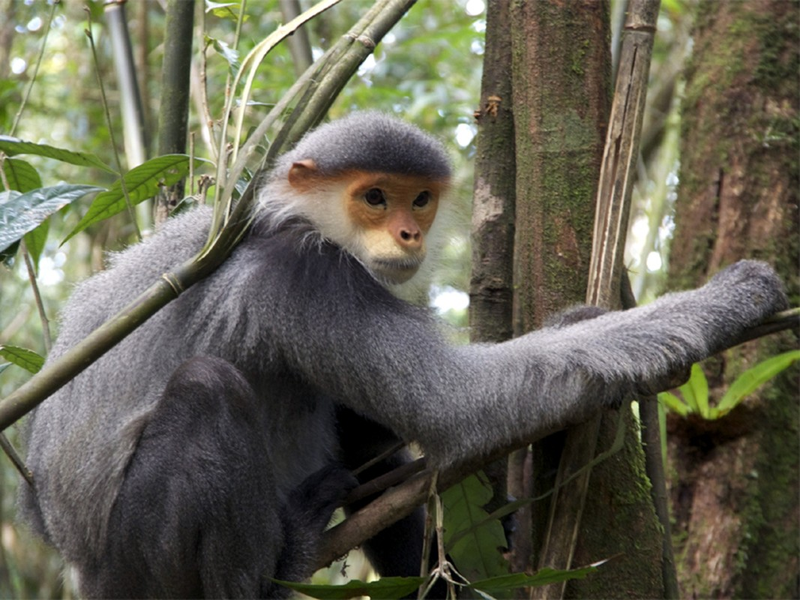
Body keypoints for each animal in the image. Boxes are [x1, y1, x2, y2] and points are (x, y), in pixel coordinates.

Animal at [18, 111, 788, 596]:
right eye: (374, 198)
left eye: (419, 201)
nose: (408, 236)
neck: (280, 222)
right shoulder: (311, 277)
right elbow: (458, 407)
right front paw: (728, 300)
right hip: (142, 564)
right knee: (210, 385)